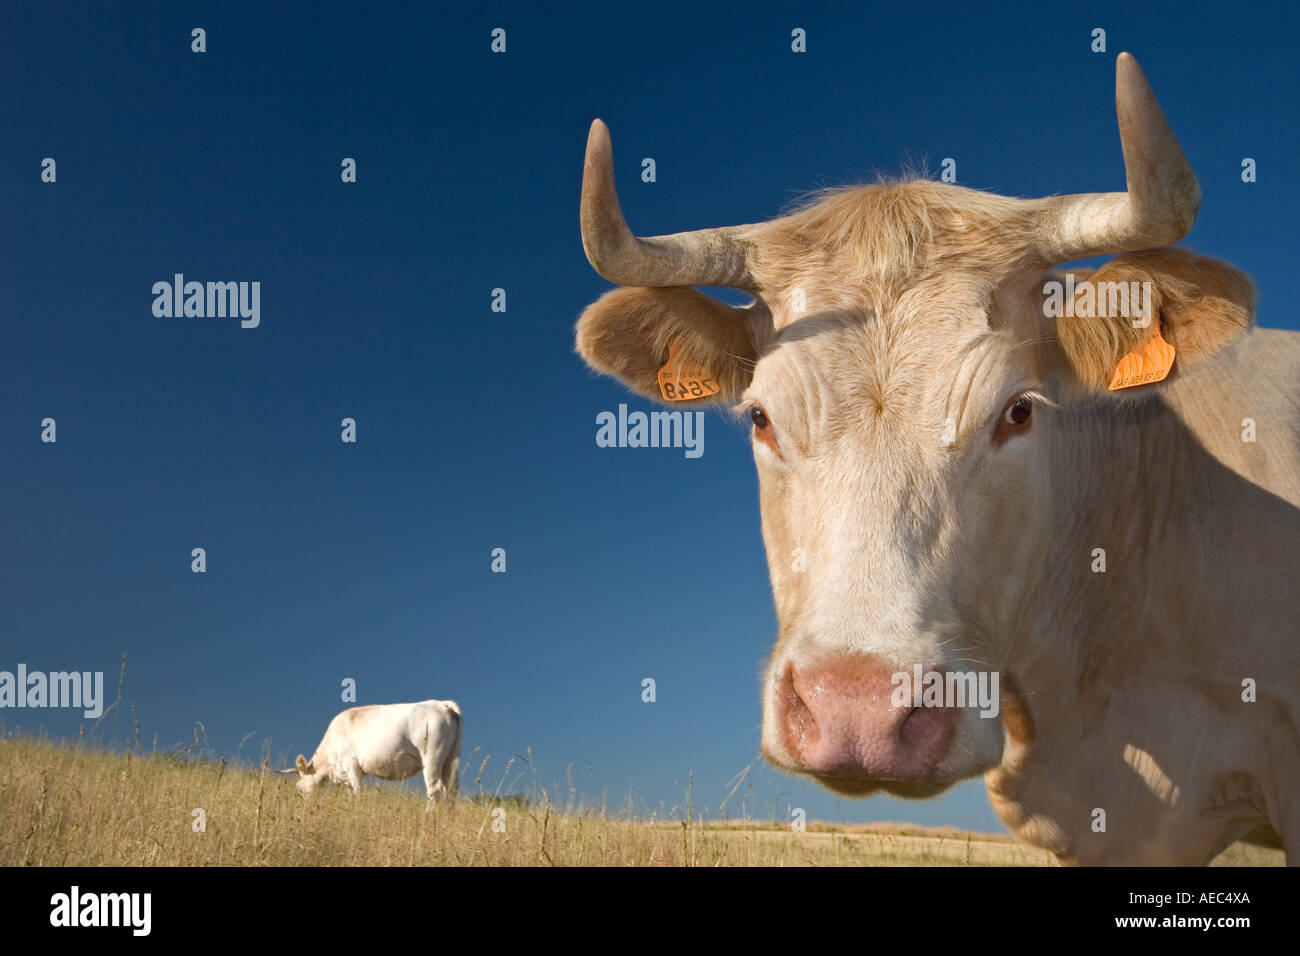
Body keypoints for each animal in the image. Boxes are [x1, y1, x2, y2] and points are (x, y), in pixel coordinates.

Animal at [283, 697, 462, 806]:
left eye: (299, 788)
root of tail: (442, 704)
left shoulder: (351, 765)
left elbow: (357, 791)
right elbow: (350, 793)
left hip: (432, 757)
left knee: (434, 788)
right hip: (450, 759)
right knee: (451, 789)